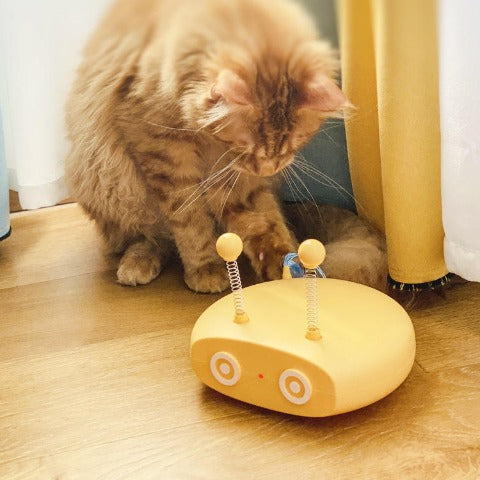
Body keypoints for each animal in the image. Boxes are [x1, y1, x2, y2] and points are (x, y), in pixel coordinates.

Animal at [64, 0, 386, 292]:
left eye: (293, 142)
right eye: (244, 143)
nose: (270, 167)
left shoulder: (233, 177)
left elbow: (264, 222)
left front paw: (283, 262)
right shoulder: (162, 153)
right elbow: (189, 221)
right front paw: (205, 268)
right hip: (110, 181)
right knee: (153, 236)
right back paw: (138, 263)